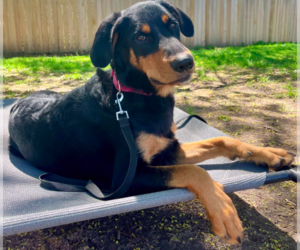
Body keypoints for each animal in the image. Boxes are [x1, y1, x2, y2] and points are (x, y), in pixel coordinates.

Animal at [8, 0, 294, 245]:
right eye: (141, 37)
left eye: (173, 25)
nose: (186, 63)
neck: (137, 96)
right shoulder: (125, 177)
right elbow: (194, 171)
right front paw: (223, 209)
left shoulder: (168, 148)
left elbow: (221, 140)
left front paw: (268, 153)